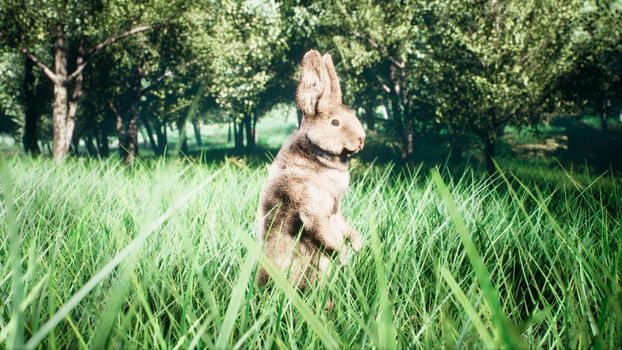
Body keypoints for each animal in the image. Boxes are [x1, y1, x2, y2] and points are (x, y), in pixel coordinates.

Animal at [258, 50, 366, 290]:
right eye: (335, 122)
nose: (361, 139)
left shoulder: (334, 213)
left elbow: (344, 228)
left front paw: (358, 245)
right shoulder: (313, 213)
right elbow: (330, 238)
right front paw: (346, 256)